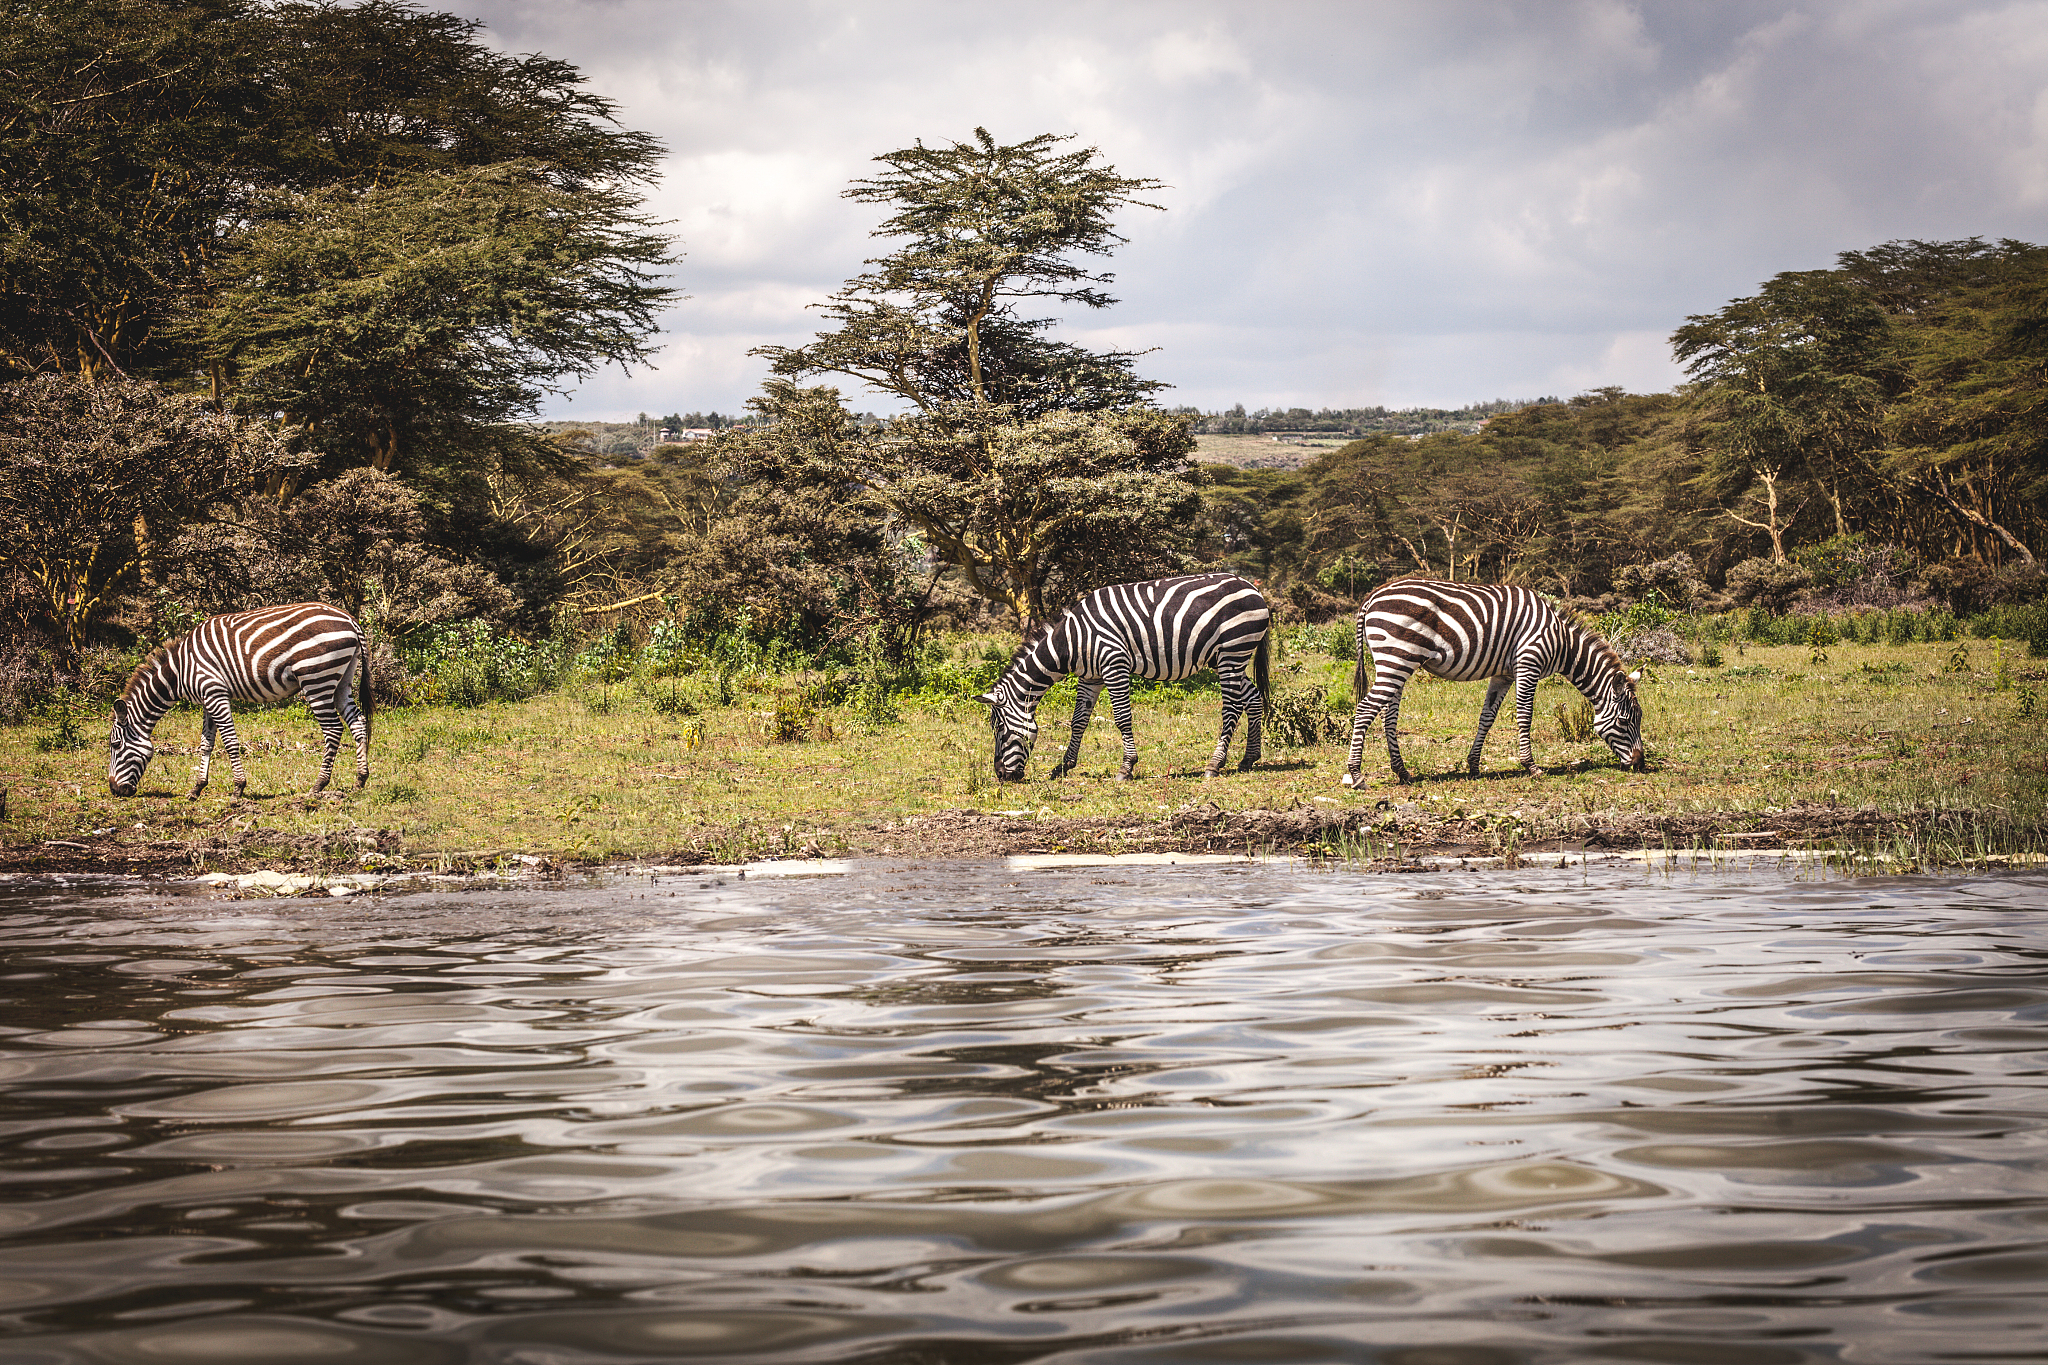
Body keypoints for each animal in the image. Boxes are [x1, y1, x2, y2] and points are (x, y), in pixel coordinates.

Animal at [108, 602, 372, 798]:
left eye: (115, 745)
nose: (115, 790)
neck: (181, 671)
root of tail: (350, 619)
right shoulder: (207, 699)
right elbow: (206, 744)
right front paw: (197, 788)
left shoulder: (215, 693)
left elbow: (230, 742)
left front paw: (238, 788)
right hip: (342, 679)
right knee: (357, 723)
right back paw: (360, 780)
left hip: (316, 678)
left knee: (333, 729)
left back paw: (318, 785)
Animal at [977, 573, 1271, 782]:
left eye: (999, 729)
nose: (1001, 776)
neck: (1072, 642)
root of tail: (1252, 587)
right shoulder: (1091, 677)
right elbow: (1078, 721)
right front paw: (1064, 766)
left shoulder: (1114, 665)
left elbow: (1121, 717)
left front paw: (1126, 767)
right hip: (1223, 657)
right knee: (1254, 698)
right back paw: (1248, 759)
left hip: (1233, 650)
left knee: (1232, 707)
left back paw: (1215, 764)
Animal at [1340, 579, 1643, 786]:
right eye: (1625, 721)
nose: (1640, 763)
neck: (1561, 643)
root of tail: (1373, 596)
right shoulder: (1528, 663)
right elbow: (1525, 716)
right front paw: (1531, 766)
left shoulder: (1504, 674)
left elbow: (1487, 717)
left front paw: (1473, 766)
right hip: (1397, 658)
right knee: (1365, 709)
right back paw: (1356, 774)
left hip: (1395, 663)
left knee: (1387, 716)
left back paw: (1402, 772)